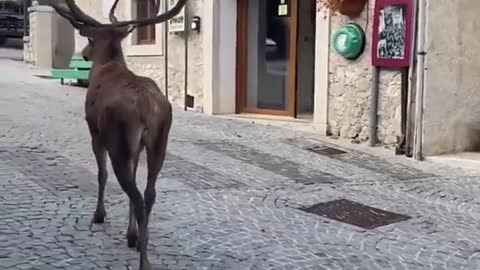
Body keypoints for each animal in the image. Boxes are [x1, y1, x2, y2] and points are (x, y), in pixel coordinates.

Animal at [41, 0, 188, 270]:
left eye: (90, 38)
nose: (85, 53)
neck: (107, 65)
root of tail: (147, 108)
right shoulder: (136, 148)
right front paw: (131, 234)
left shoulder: (94, 131)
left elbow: (101, 174)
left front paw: (99, 215)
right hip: (159, 142)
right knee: (149, 193)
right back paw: (141, 240)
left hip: (117, 140)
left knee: (135, 194)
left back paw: (144, 261)